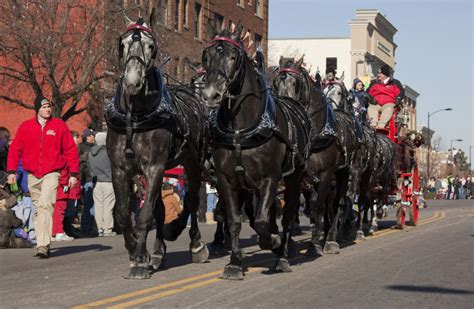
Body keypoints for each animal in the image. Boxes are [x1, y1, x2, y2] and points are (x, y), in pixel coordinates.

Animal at [105, 10, 209, 278]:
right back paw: (159, 251)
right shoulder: (121, 170)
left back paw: (196, 245)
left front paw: (140, 262)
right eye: (122, 44)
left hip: (193, 162)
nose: (132, 82)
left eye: (151, 46)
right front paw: (137, 253)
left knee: (192, 200)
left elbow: (145, 215)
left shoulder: (154, 167)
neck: (134, 117)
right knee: (163, 207)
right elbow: (125, 214)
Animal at [200, 28, 312, 278]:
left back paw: (283, 255)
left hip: (294, 178)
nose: (211, 95)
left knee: (288, 215)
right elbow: (234, 220)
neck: (240, 129)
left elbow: (261, 221)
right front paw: (234, 263)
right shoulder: (227, 180)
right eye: (206, 57)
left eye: (233, 57)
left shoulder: (270, 178)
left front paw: (273, 242)